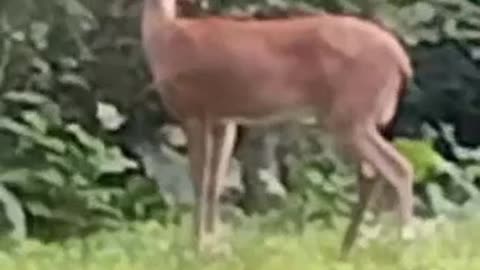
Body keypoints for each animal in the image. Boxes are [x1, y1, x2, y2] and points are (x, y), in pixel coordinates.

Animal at [141, 0, 414, 258]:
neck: (166, 36)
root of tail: (401, 60)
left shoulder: (194, 111)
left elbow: (199, 181)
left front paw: (197, 247)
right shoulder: (224, 119)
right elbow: (215, 183)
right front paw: (214, 246)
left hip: (350, 116)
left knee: (399, 167)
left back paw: (402, 245)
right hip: (351, 119)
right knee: (373, 173)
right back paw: (347, 247)